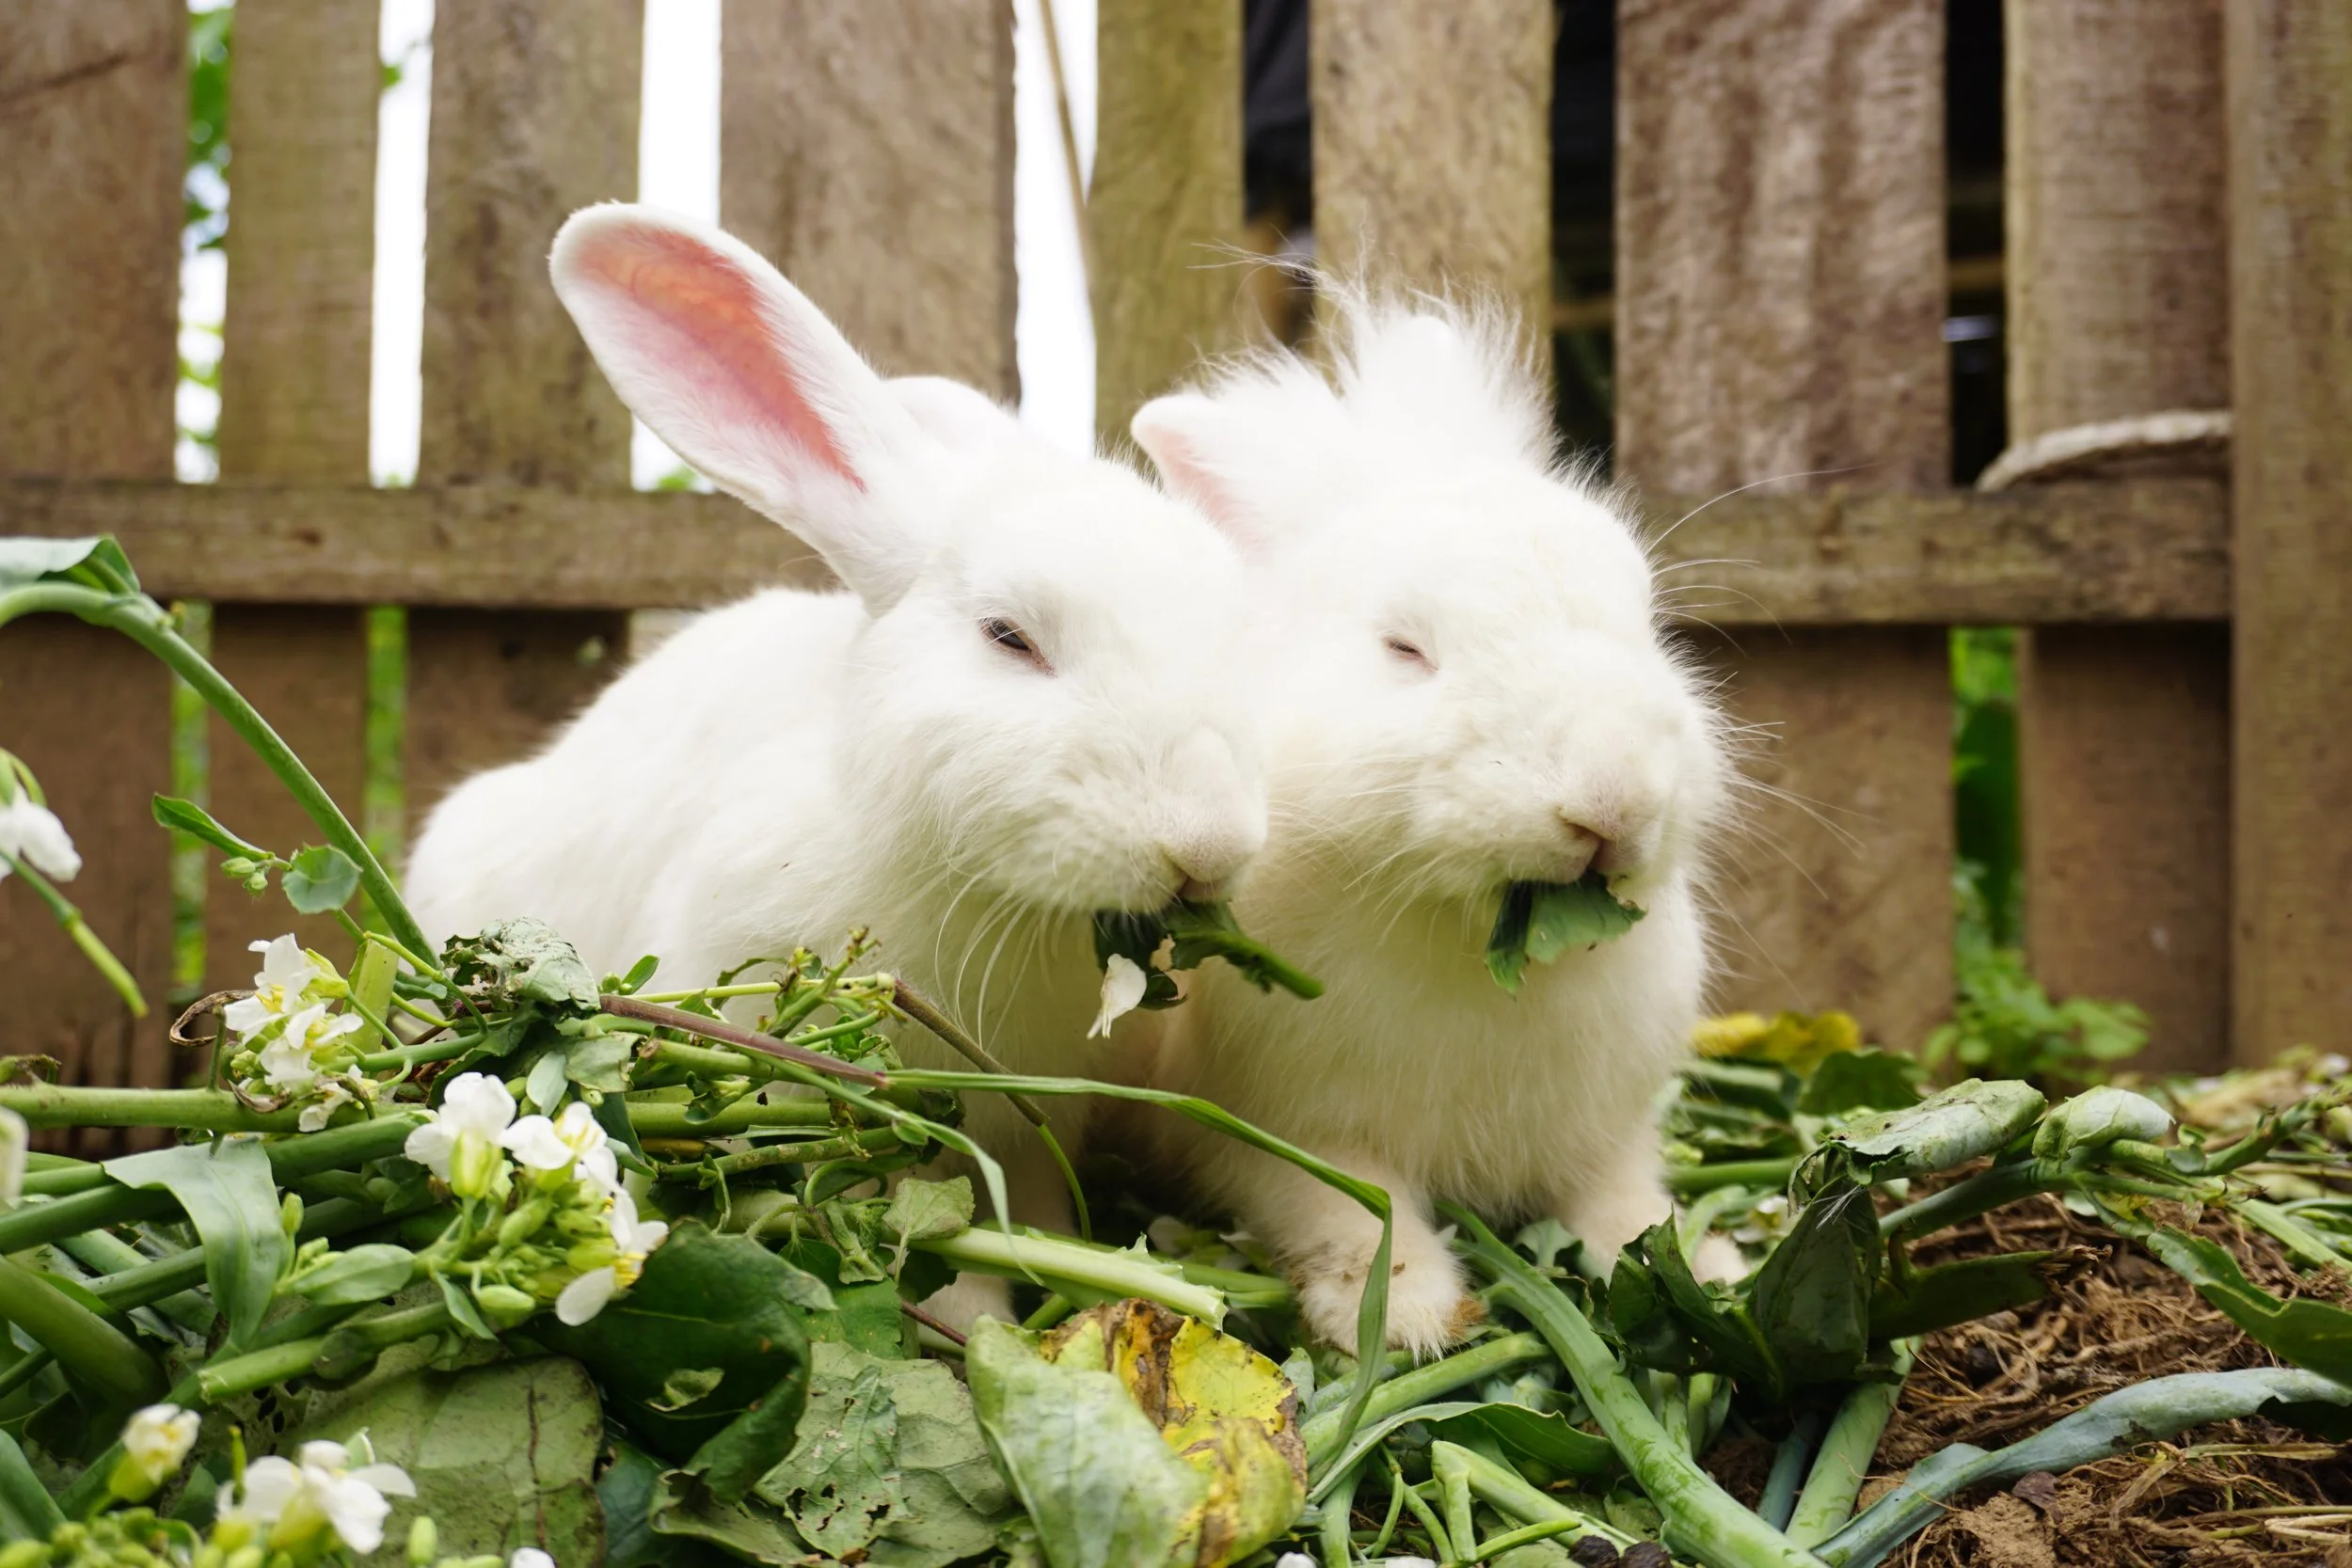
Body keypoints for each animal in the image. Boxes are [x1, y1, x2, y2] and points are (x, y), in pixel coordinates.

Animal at [1117, 288, 1736, 1357]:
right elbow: (1356, 1212)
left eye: (1647, 621)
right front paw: (1411, 1319)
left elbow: (1624, 1201)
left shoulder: (1606, 1130)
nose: (1614, 796)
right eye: (1403, 648)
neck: (1473, 952)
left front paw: (1705, 1268)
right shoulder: (1282, 1133)